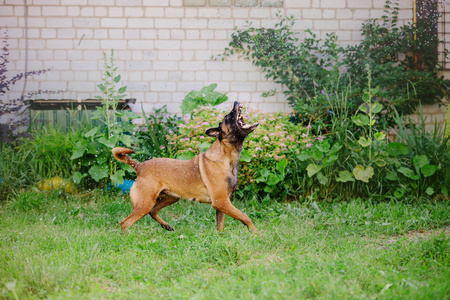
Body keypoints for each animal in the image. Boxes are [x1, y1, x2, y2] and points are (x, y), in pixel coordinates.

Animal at [112, 102, 258, 233]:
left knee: (152, 212)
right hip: (145, 203)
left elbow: (220, 228)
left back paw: (166, 226)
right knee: (125, 222)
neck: (225, 156)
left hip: (170, 198)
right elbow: (245, 216)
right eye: (227, 117)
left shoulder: (222, 205)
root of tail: (140, 166)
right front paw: (255, 232)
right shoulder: (221, 201)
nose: (236, 102)